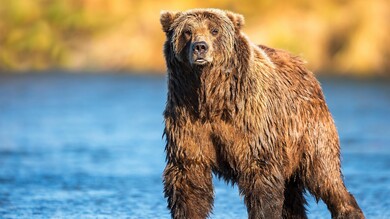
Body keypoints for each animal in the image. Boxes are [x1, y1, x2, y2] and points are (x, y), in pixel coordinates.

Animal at [158, 8, 362, 219]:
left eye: (214, 30)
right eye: (187, 32)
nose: (200, 47)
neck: (211, 98)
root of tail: (304, 66)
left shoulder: (252, 123)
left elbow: (262, 178)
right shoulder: (187, 120)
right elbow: (189, 176)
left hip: (308, 130)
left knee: (324, 173)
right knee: (293, 197)